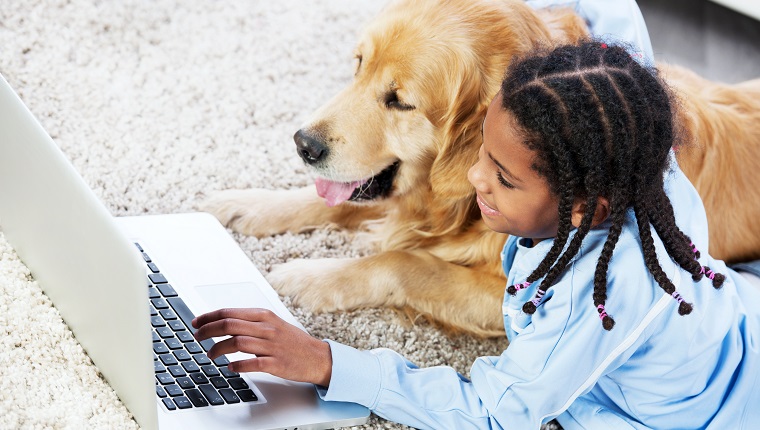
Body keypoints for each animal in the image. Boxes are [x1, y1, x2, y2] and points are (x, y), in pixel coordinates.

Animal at [202, 0, 760, 336]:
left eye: (399, 101)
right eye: (358, 65)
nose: (303, 143)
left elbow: (405, 262)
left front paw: (309, 274)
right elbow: (334, 203)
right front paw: (248, 203)